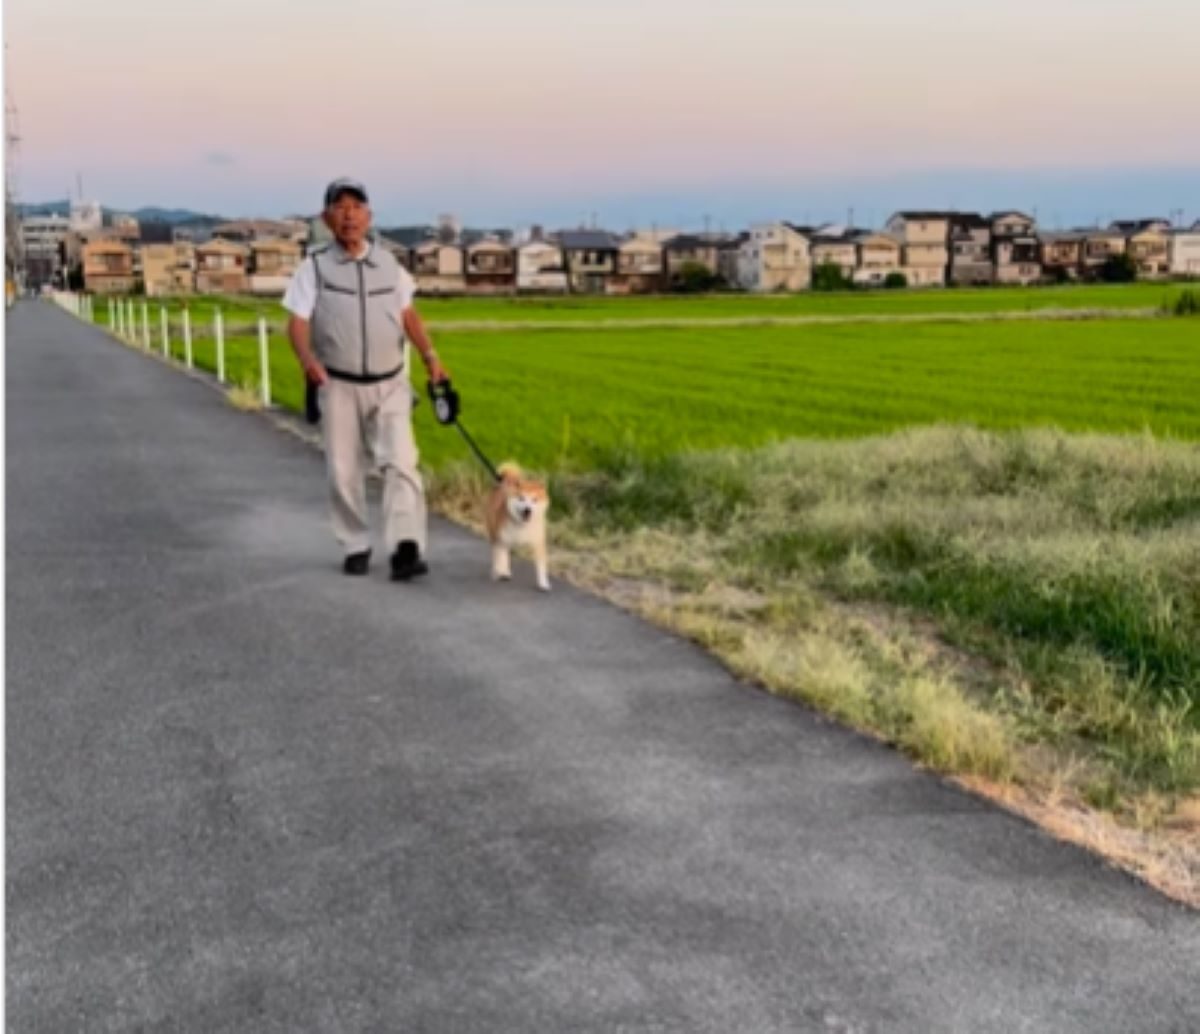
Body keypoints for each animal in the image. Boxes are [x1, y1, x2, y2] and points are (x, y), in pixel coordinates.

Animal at [482, 460, 549, 590]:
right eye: (521, 498)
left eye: (535, 500)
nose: (528, 510)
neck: (522, 525)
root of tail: (505, 479)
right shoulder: (502, 540)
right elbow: (501, 558)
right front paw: (502, 572)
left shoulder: (538, 543)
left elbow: (541, 566)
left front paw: (543, 583)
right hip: (495, 534)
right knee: (497, 555)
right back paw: (498, 572)